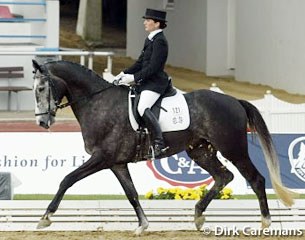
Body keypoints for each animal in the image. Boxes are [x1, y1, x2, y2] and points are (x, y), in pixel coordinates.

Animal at [32, 59, 294, 234]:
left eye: (41, 89)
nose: (43, 123)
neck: (97, 101)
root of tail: (235, 101)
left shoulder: (102, 158)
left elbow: (67, 179)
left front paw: (46, 217)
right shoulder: (117, 163)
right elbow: (131, 193)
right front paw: (143, 225)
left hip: (233, 149)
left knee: (256, 179)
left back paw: (265, 223)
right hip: (200, 151)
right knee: (223, 176)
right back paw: (198, 216)